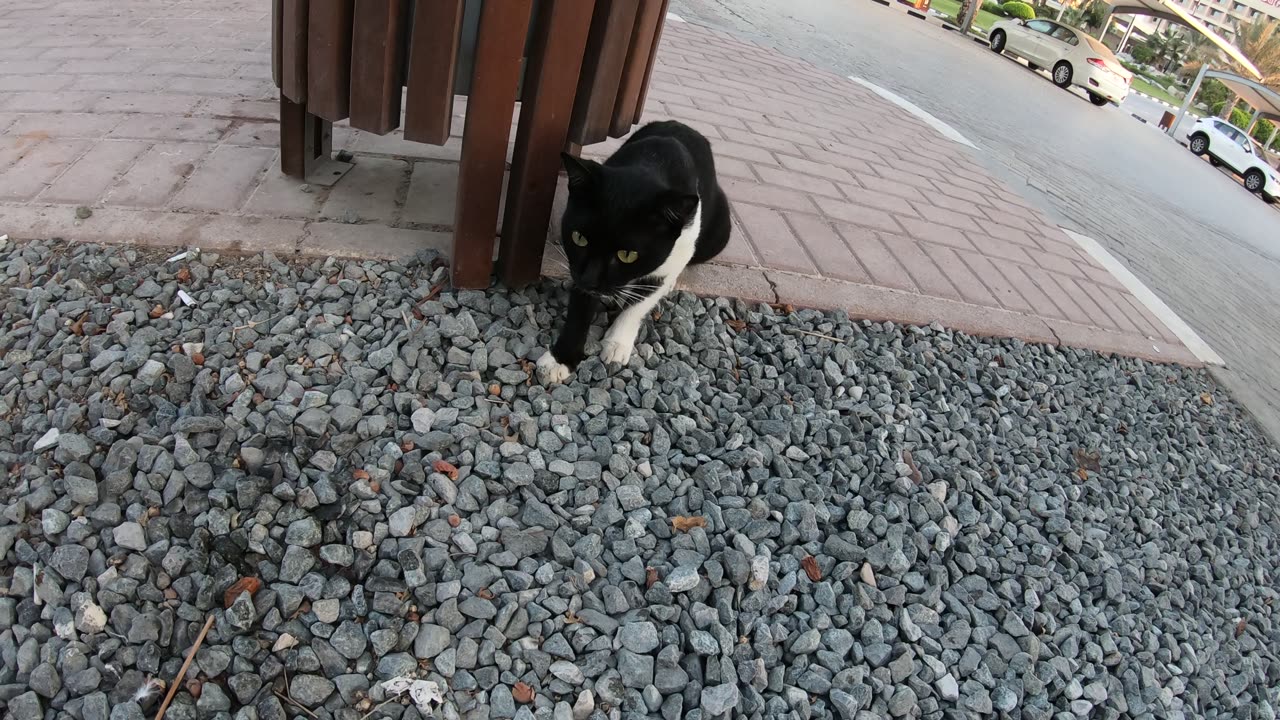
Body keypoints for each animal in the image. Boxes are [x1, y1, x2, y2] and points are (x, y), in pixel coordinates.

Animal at [535, 120, 732, 384]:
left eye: (627, 255)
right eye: (579, 238)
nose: (590, 280)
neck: (652, 163)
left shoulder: (679, 247)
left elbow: (642, 299)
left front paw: (617, 342)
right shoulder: (578, 266)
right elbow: (580, 306)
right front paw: (561, 358)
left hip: (717, 234)